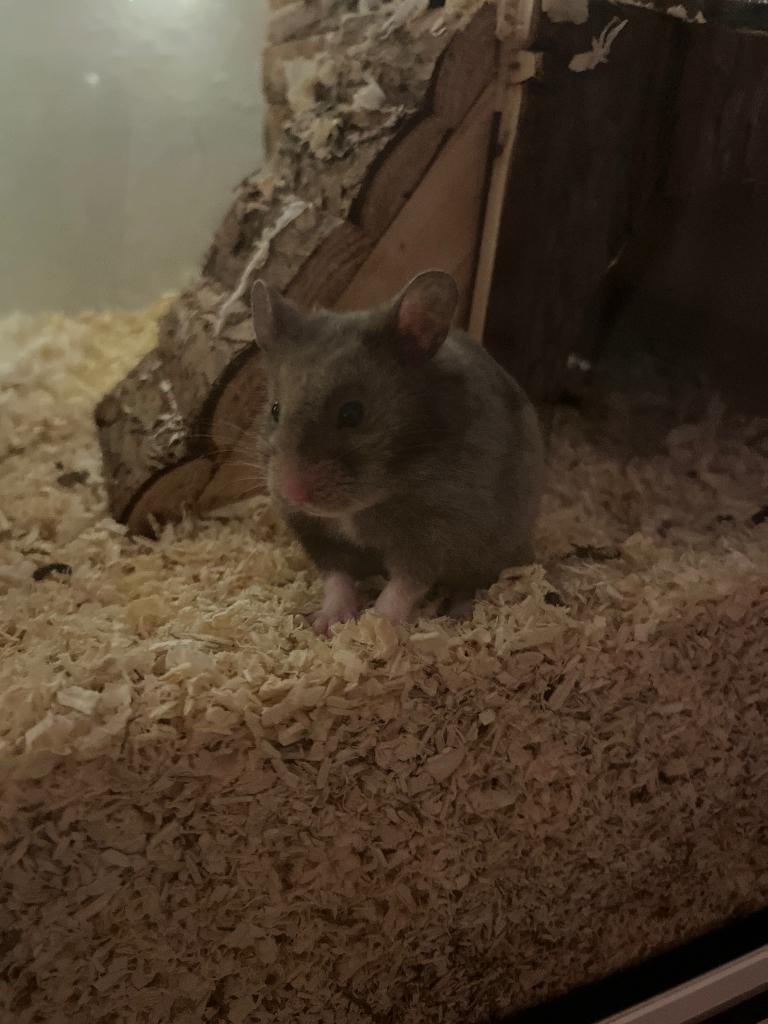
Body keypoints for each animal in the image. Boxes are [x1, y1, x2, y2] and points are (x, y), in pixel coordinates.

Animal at [250, 270, 544, 633]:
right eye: (275, 410)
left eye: (352, 413)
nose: (293, 493)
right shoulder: (315, 534)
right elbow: (337, 578)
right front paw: (327, 623)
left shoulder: (435, 533)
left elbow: (404, 584)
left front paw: (376, 625)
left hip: (492, 549)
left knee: (470, 584)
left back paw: (459, 615)